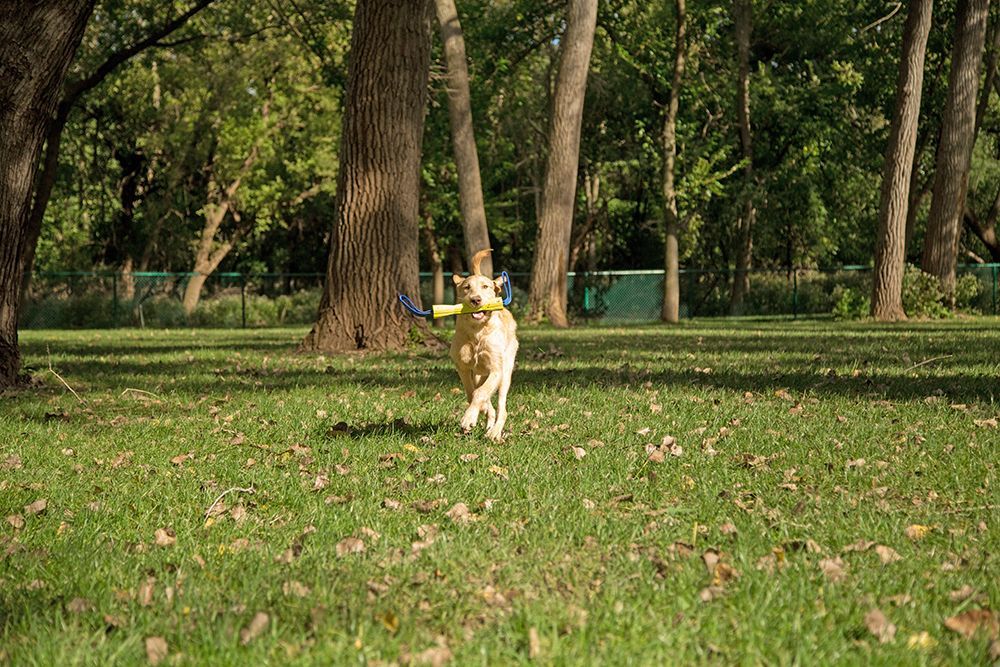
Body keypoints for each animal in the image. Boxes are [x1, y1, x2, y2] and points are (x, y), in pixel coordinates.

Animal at [450, 248, 520, 440]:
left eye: (485, 287)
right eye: (467, 287)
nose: (476, 300)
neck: (477, 333)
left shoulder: (496, 370)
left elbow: (480, 392)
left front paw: (468, 418)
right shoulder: (463, 368)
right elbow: (473, 393)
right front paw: (474, 415)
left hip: (506, 373)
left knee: (502, 408)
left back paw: (494, 432)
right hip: (479, 374)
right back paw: (488, 423)